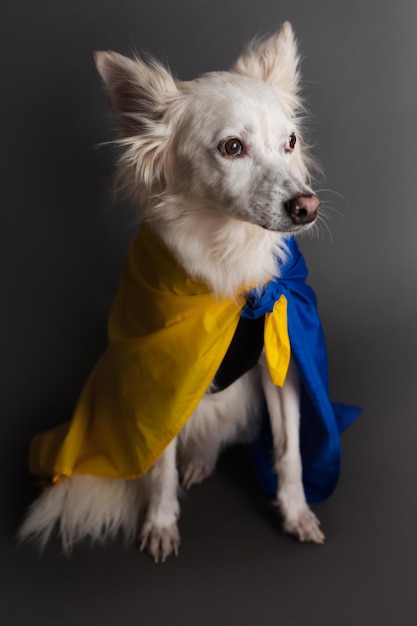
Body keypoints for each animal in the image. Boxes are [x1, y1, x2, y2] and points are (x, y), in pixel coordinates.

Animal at [19, 23, 326, 560]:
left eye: (290, 141)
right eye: (232, 148)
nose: (306, 206)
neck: (228, 262)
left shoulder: (280, 365)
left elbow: (289, 450)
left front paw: (296, 512)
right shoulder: (161, 389)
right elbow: (159, 463)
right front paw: (161, 522)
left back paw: (201, 460)